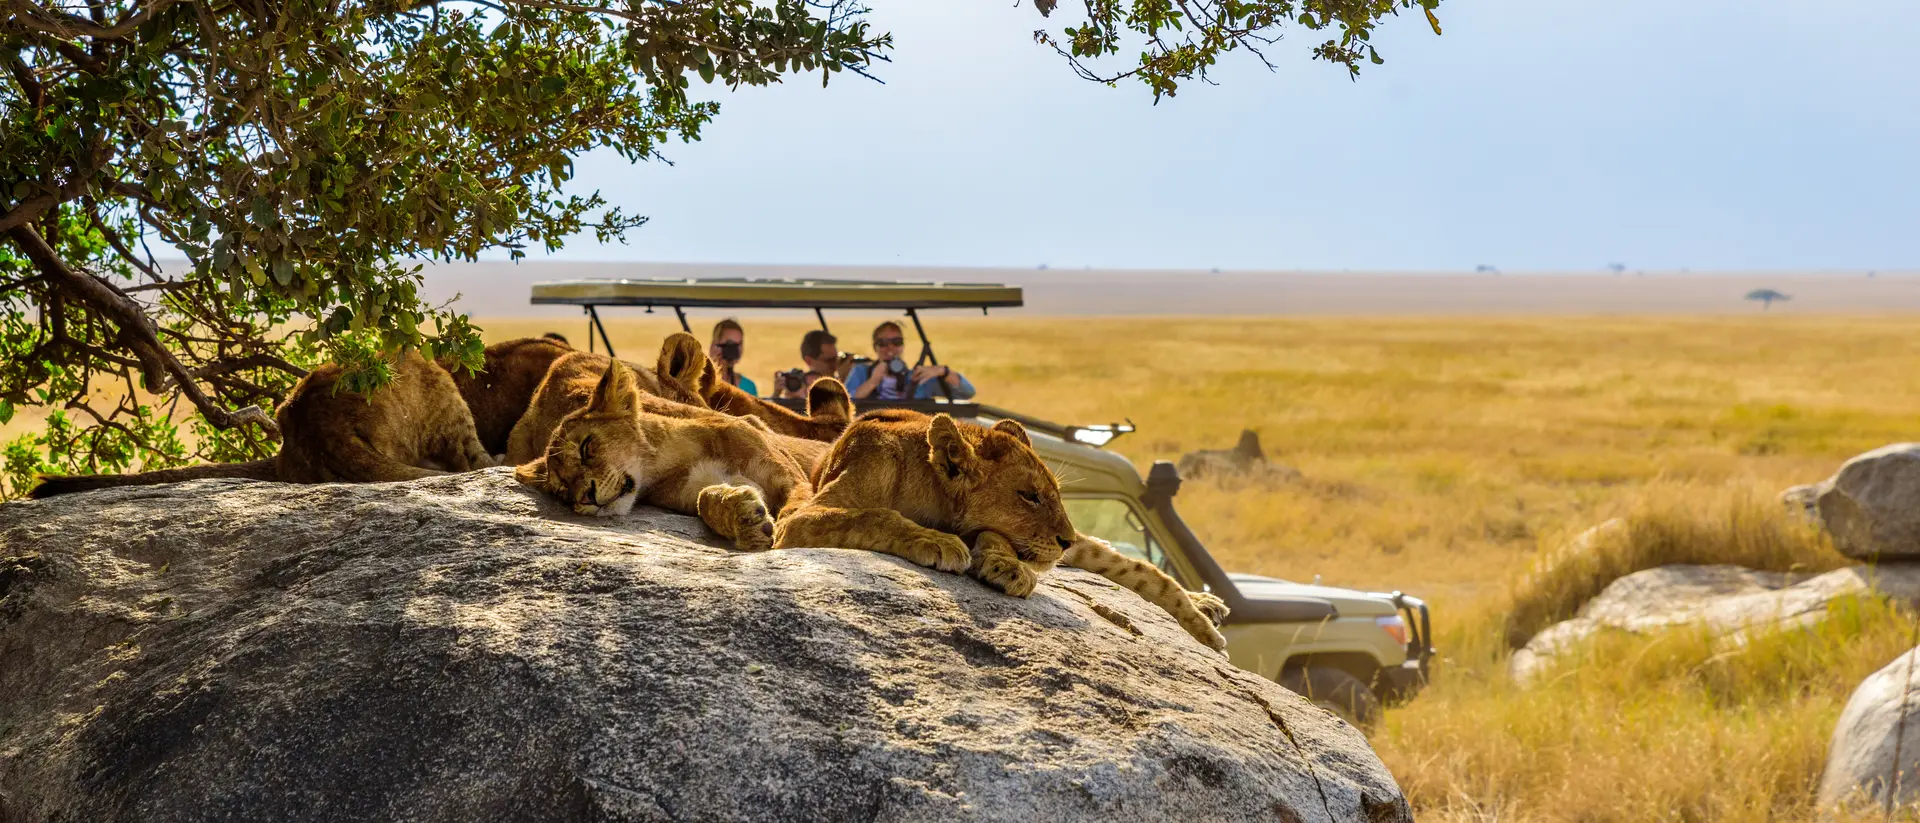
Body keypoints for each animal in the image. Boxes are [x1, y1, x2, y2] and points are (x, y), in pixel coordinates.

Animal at [514, 359, 813, 553]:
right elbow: (705, 499)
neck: (677, 459)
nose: (585, 498)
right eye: (562, 488)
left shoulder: (790, 476)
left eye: (586, 447)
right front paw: (745, 520)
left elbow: (796, 505)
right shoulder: (689, 492)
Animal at [771, 410, 1230, 650]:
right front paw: (935, 541)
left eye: (1054, 493)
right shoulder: (794, 522)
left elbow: (995, 538)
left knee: (1142, 570)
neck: (926, 492)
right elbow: (875, 515)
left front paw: (1006, 568)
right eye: (1030, 496)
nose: (1065, 539)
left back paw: (1205, 619)